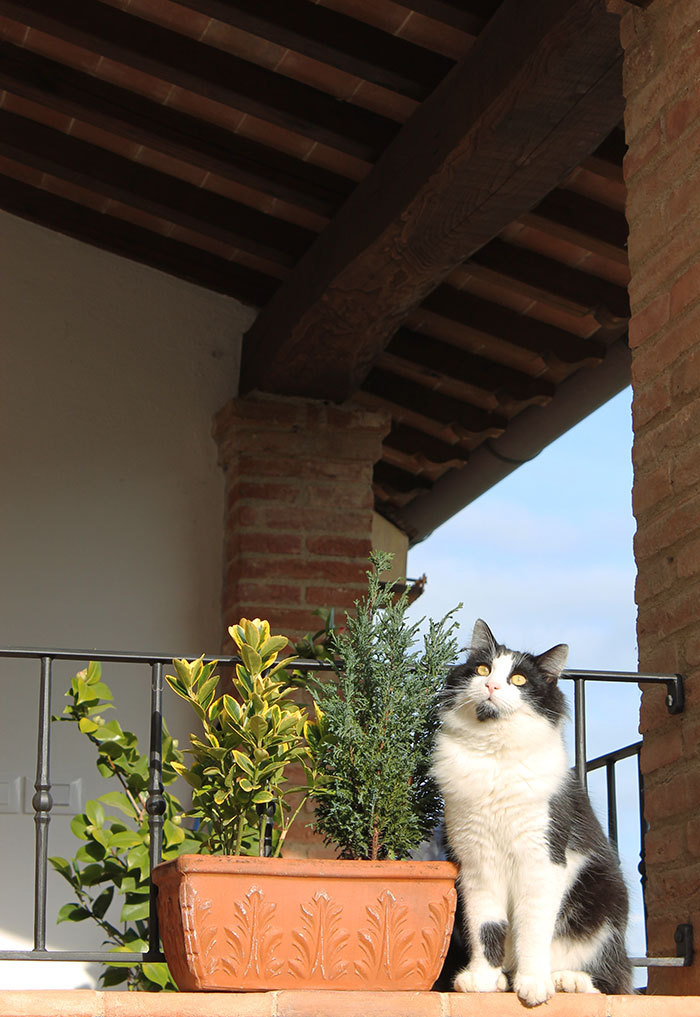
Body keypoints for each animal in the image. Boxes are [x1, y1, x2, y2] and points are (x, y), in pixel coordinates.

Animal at [435, 614, 630, 1004]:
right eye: (483, 669)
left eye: (519, 680)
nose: (492, 685)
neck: (493, 757)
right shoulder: (477, 864)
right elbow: (487, 927)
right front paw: (482, 979)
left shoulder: (540, 860)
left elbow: (532, 929)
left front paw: (533, 985)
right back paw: (502, 979)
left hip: (606, 900)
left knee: (612, 981)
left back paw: (565, 980)